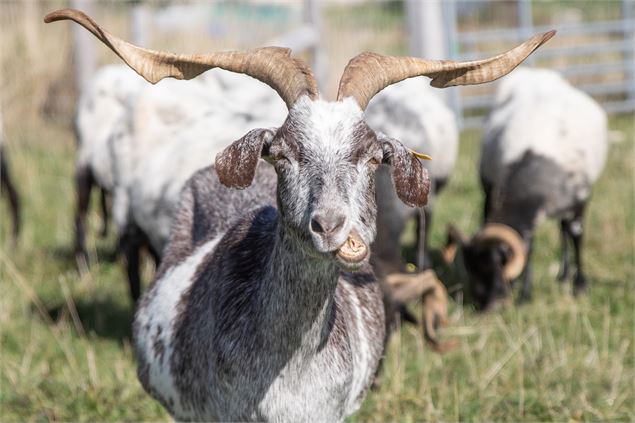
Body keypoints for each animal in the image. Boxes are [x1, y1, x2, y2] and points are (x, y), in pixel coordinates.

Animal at [442, 67, 608, 312]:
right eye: (471, 268)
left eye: (494, 265)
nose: (486, 306)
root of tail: (538, 74)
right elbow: (529, 247)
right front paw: (525, 296)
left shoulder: (580, 199)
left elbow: (577, 237)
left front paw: (580, 286)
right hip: (488, 187)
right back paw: (562, 274)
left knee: (566, 229)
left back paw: (566, 276)